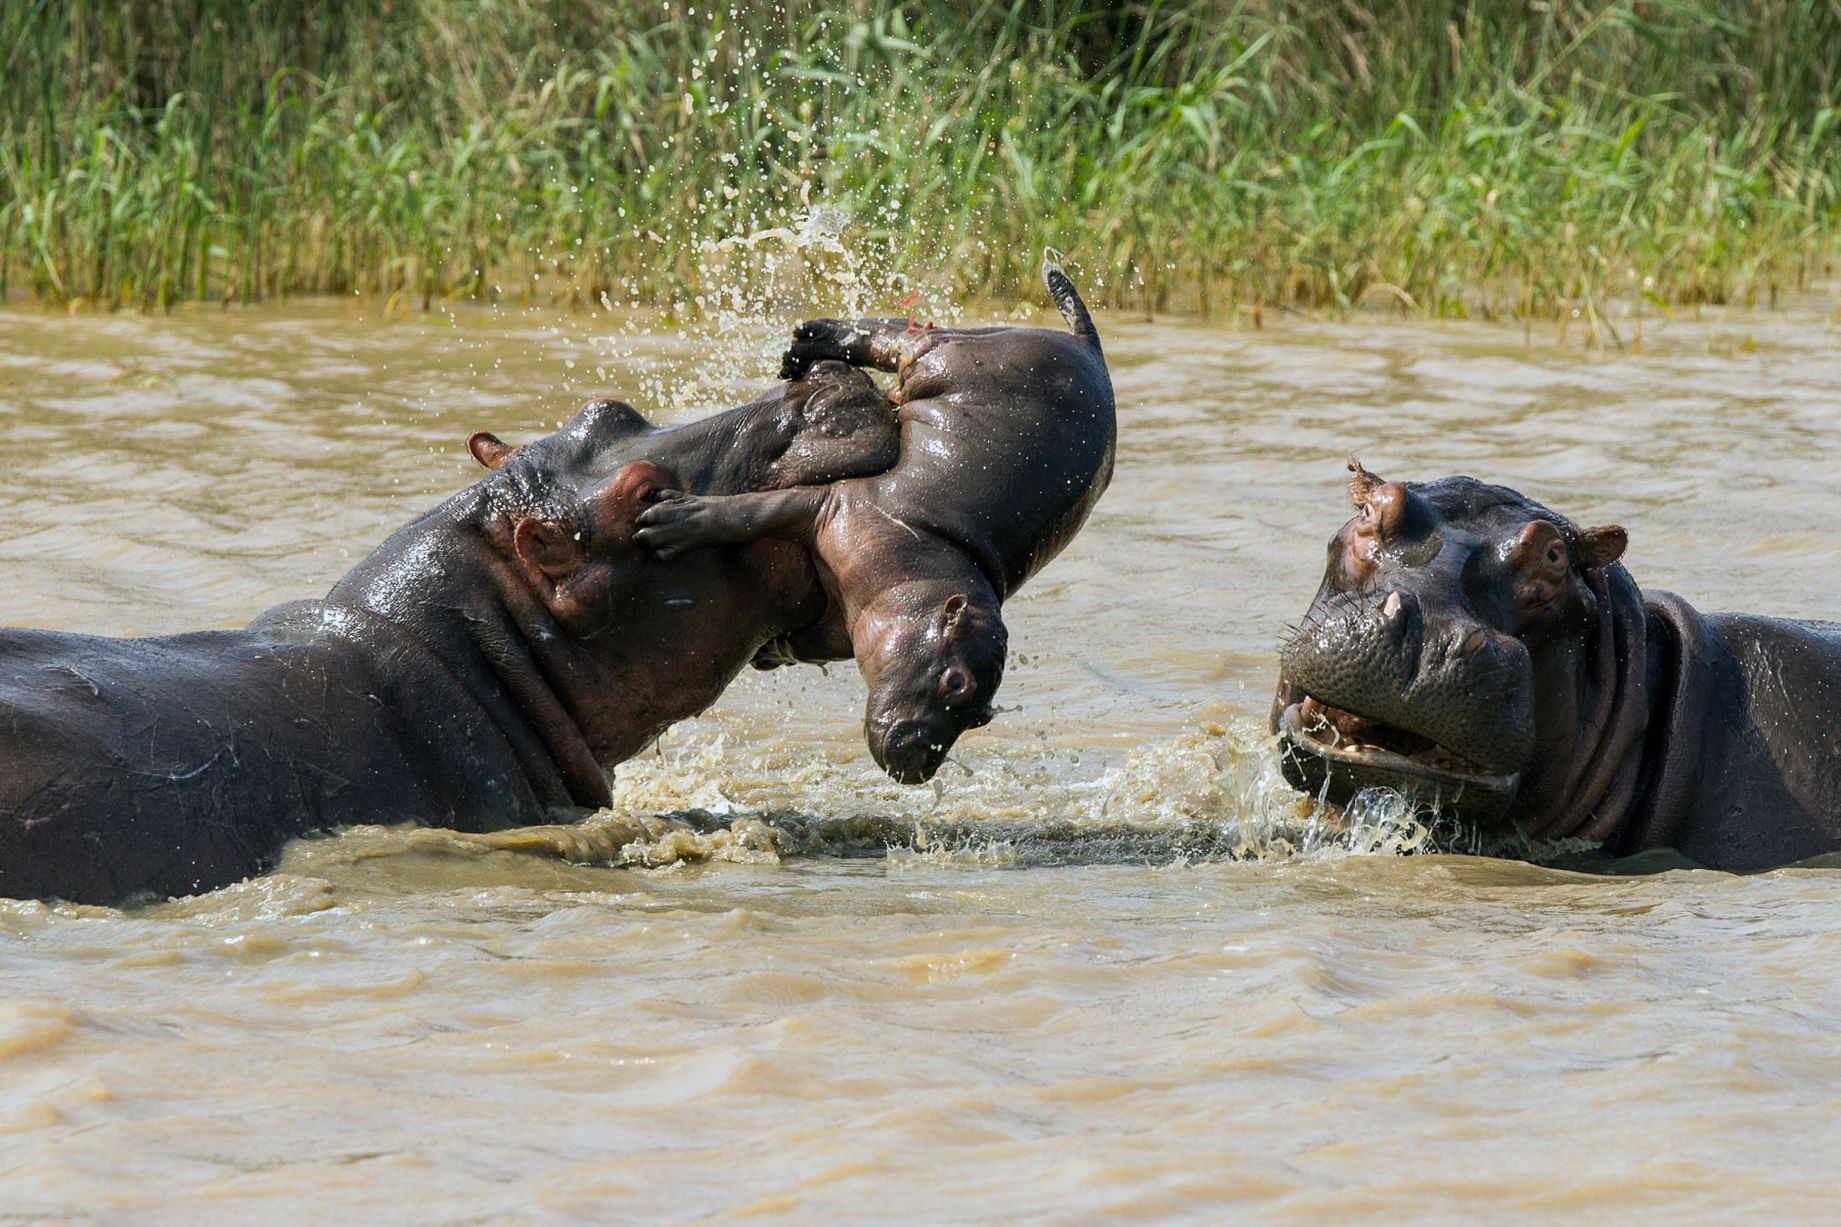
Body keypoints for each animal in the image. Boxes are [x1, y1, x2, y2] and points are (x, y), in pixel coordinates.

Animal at [633, 261, 1116, 782]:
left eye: (982, 718)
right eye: (957, 683)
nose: (923, 765)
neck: (934, 564)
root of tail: (1091, 348)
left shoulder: (843, 617)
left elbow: (807, 643)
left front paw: (771, 652)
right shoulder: (834, 506)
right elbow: (749, 513)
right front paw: (665, 521)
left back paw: (800, 349)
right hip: (946, 358)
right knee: (901, 336)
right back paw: (803, 344)